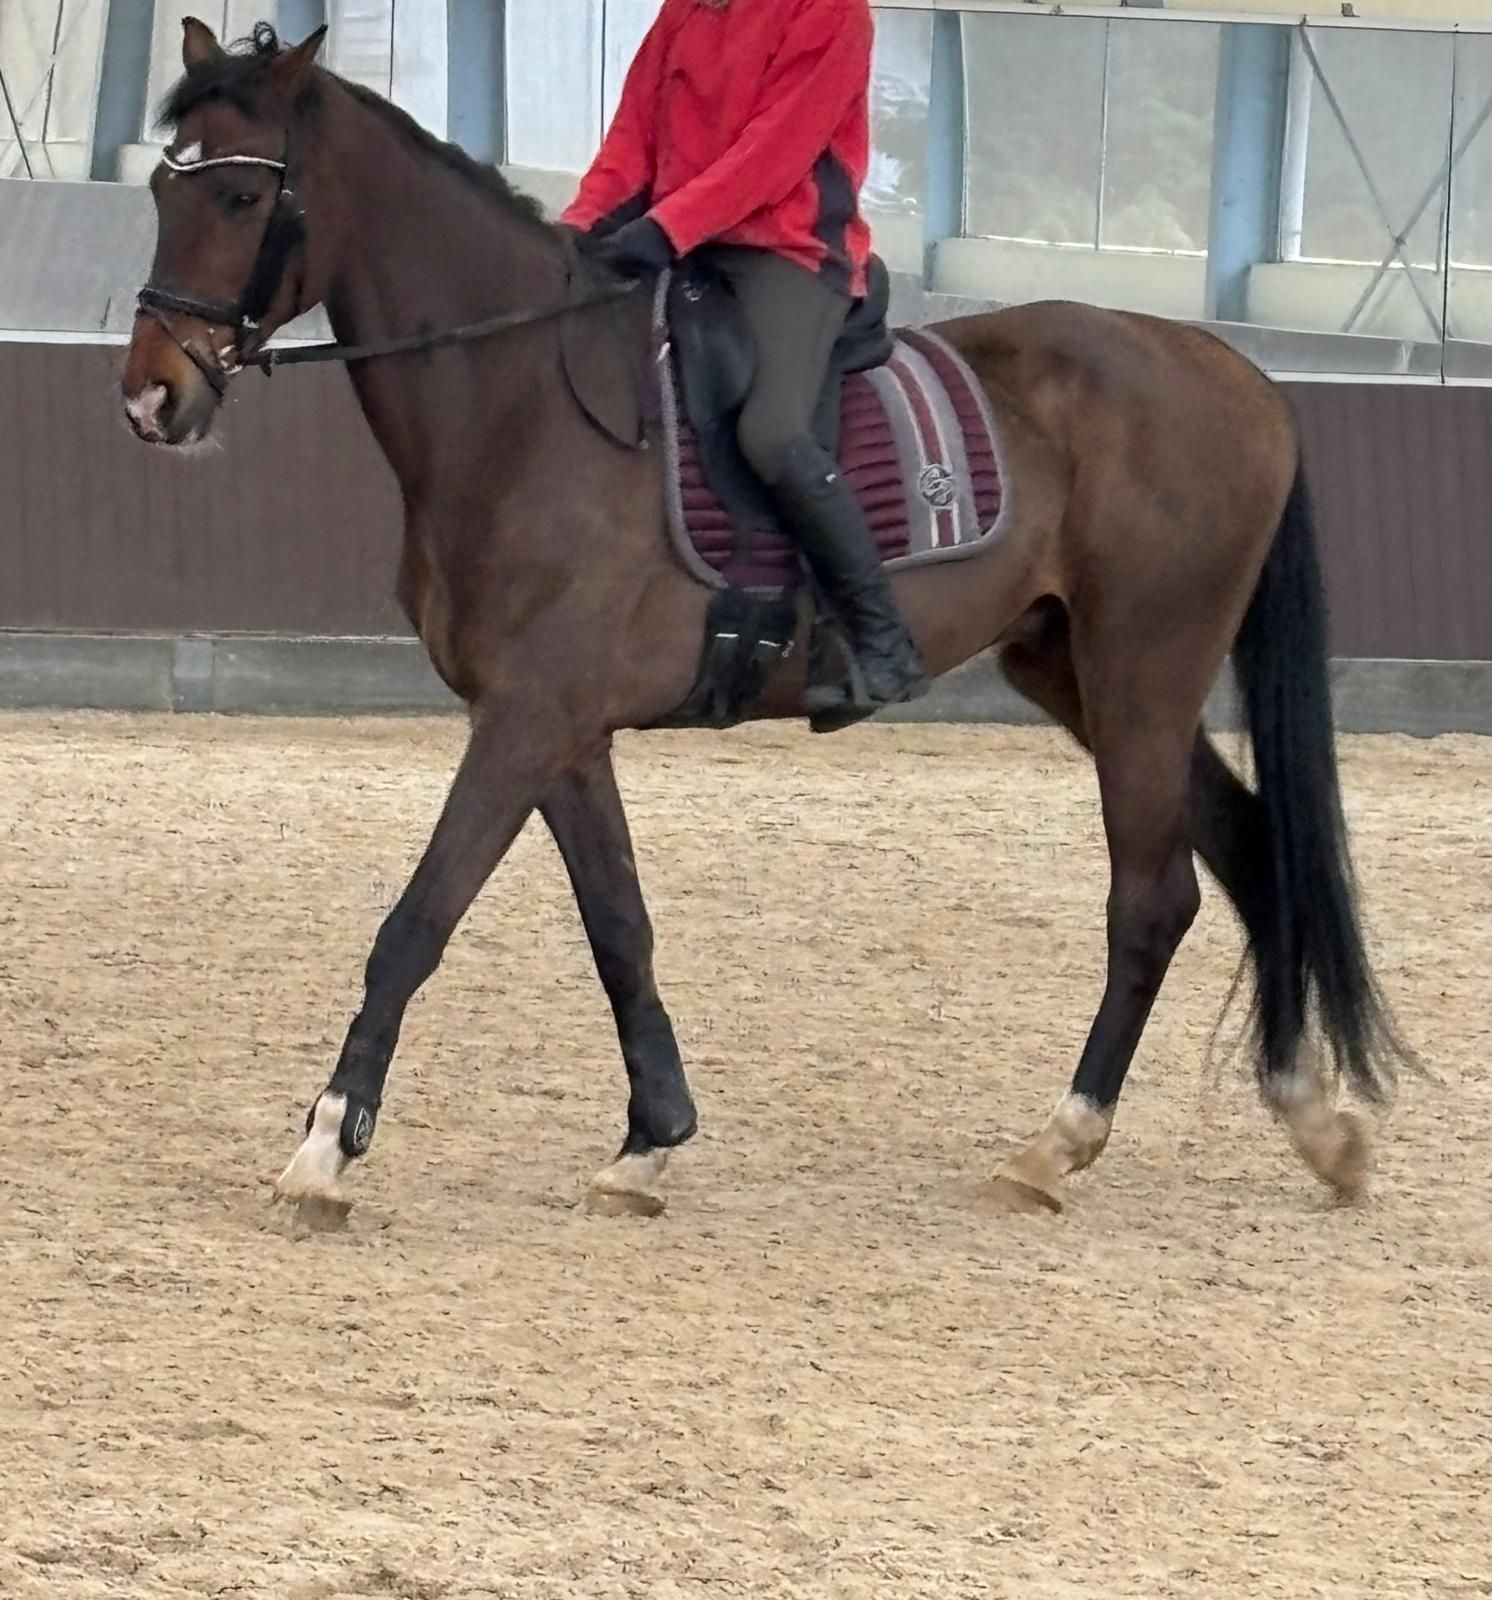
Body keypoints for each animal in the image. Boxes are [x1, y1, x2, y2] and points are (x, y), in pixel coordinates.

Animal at [121, 20, 1404, 1221]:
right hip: (1076, 670)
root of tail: (1229, 371)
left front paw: (325, 1148)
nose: (150, 397)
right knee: (1247, 846)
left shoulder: (527, 720)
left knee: (1153, 898)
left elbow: (418, 918)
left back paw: (1059, 1143)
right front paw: (649, 1141)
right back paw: (1313, 1122)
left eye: (241, 195)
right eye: (160, 189)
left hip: (1144, 665)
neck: (523, 399)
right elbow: (619, 927)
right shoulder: (560, 732)